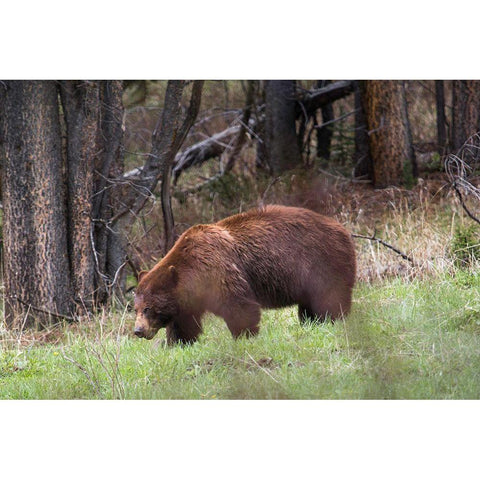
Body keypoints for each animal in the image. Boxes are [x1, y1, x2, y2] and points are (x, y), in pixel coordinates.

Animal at [134, 206, 356, 344]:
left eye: (147, 308)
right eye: (134, 308)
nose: (138, 330)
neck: (193, 274)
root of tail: (343, 229)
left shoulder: (218, 270)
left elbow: (239, 306)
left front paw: (244, 336)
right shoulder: (187, 300)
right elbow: (183, 324)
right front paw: (179, 343)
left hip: (324, 262)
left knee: (331, 298)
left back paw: (333, 320)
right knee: (309, 307)